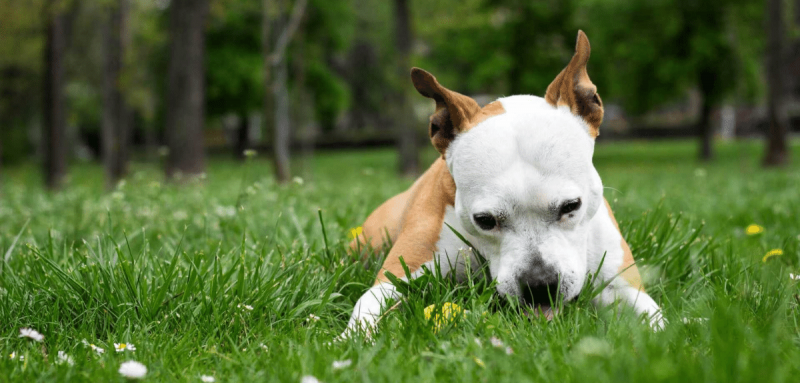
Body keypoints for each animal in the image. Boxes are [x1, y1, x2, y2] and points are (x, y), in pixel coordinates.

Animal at [344, 30, 664, 340]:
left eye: (571, 206)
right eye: (485, 220)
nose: (539, 284)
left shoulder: (623, 288)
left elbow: (658, 324)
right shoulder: (396, 277)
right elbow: (366, 309)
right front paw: (349, 341)